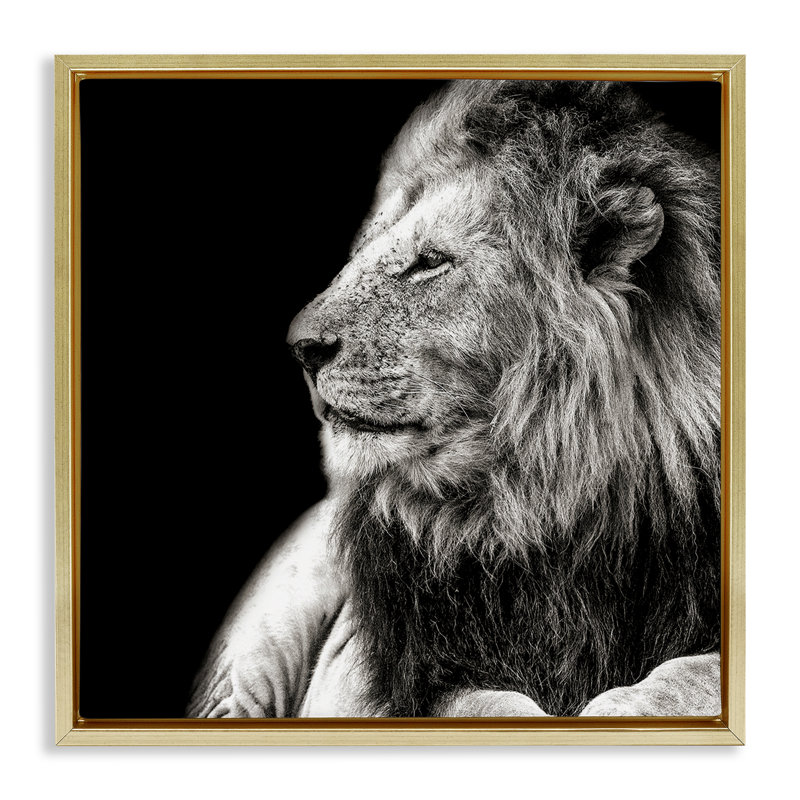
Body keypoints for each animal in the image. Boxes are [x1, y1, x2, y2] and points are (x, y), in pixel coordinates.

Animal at [188, 80, 721, 718]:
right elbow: (490, 706)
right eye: (362, 252)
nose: (301, 348)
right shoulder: (401, 678)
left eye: (430, 262)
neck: (541, 508)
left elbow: (688, 674)